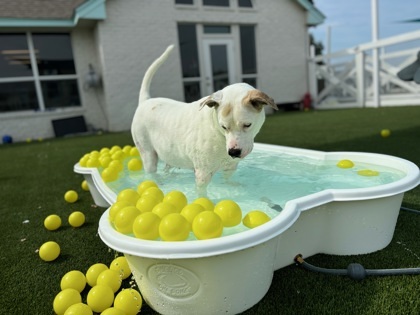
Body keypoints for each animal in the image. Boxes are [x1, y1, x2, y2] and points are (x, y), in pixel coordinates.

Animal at [130, 45, 276, 196]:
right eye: (223, 126)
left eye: (247, 125)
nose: (233, 152)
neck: (217, 132)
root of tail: (145, 101)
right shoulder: (202, 175)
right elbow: (202, 193)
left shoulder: (230, 168)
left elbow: (228, 181)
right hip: (147, 153)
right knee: (151, 168)